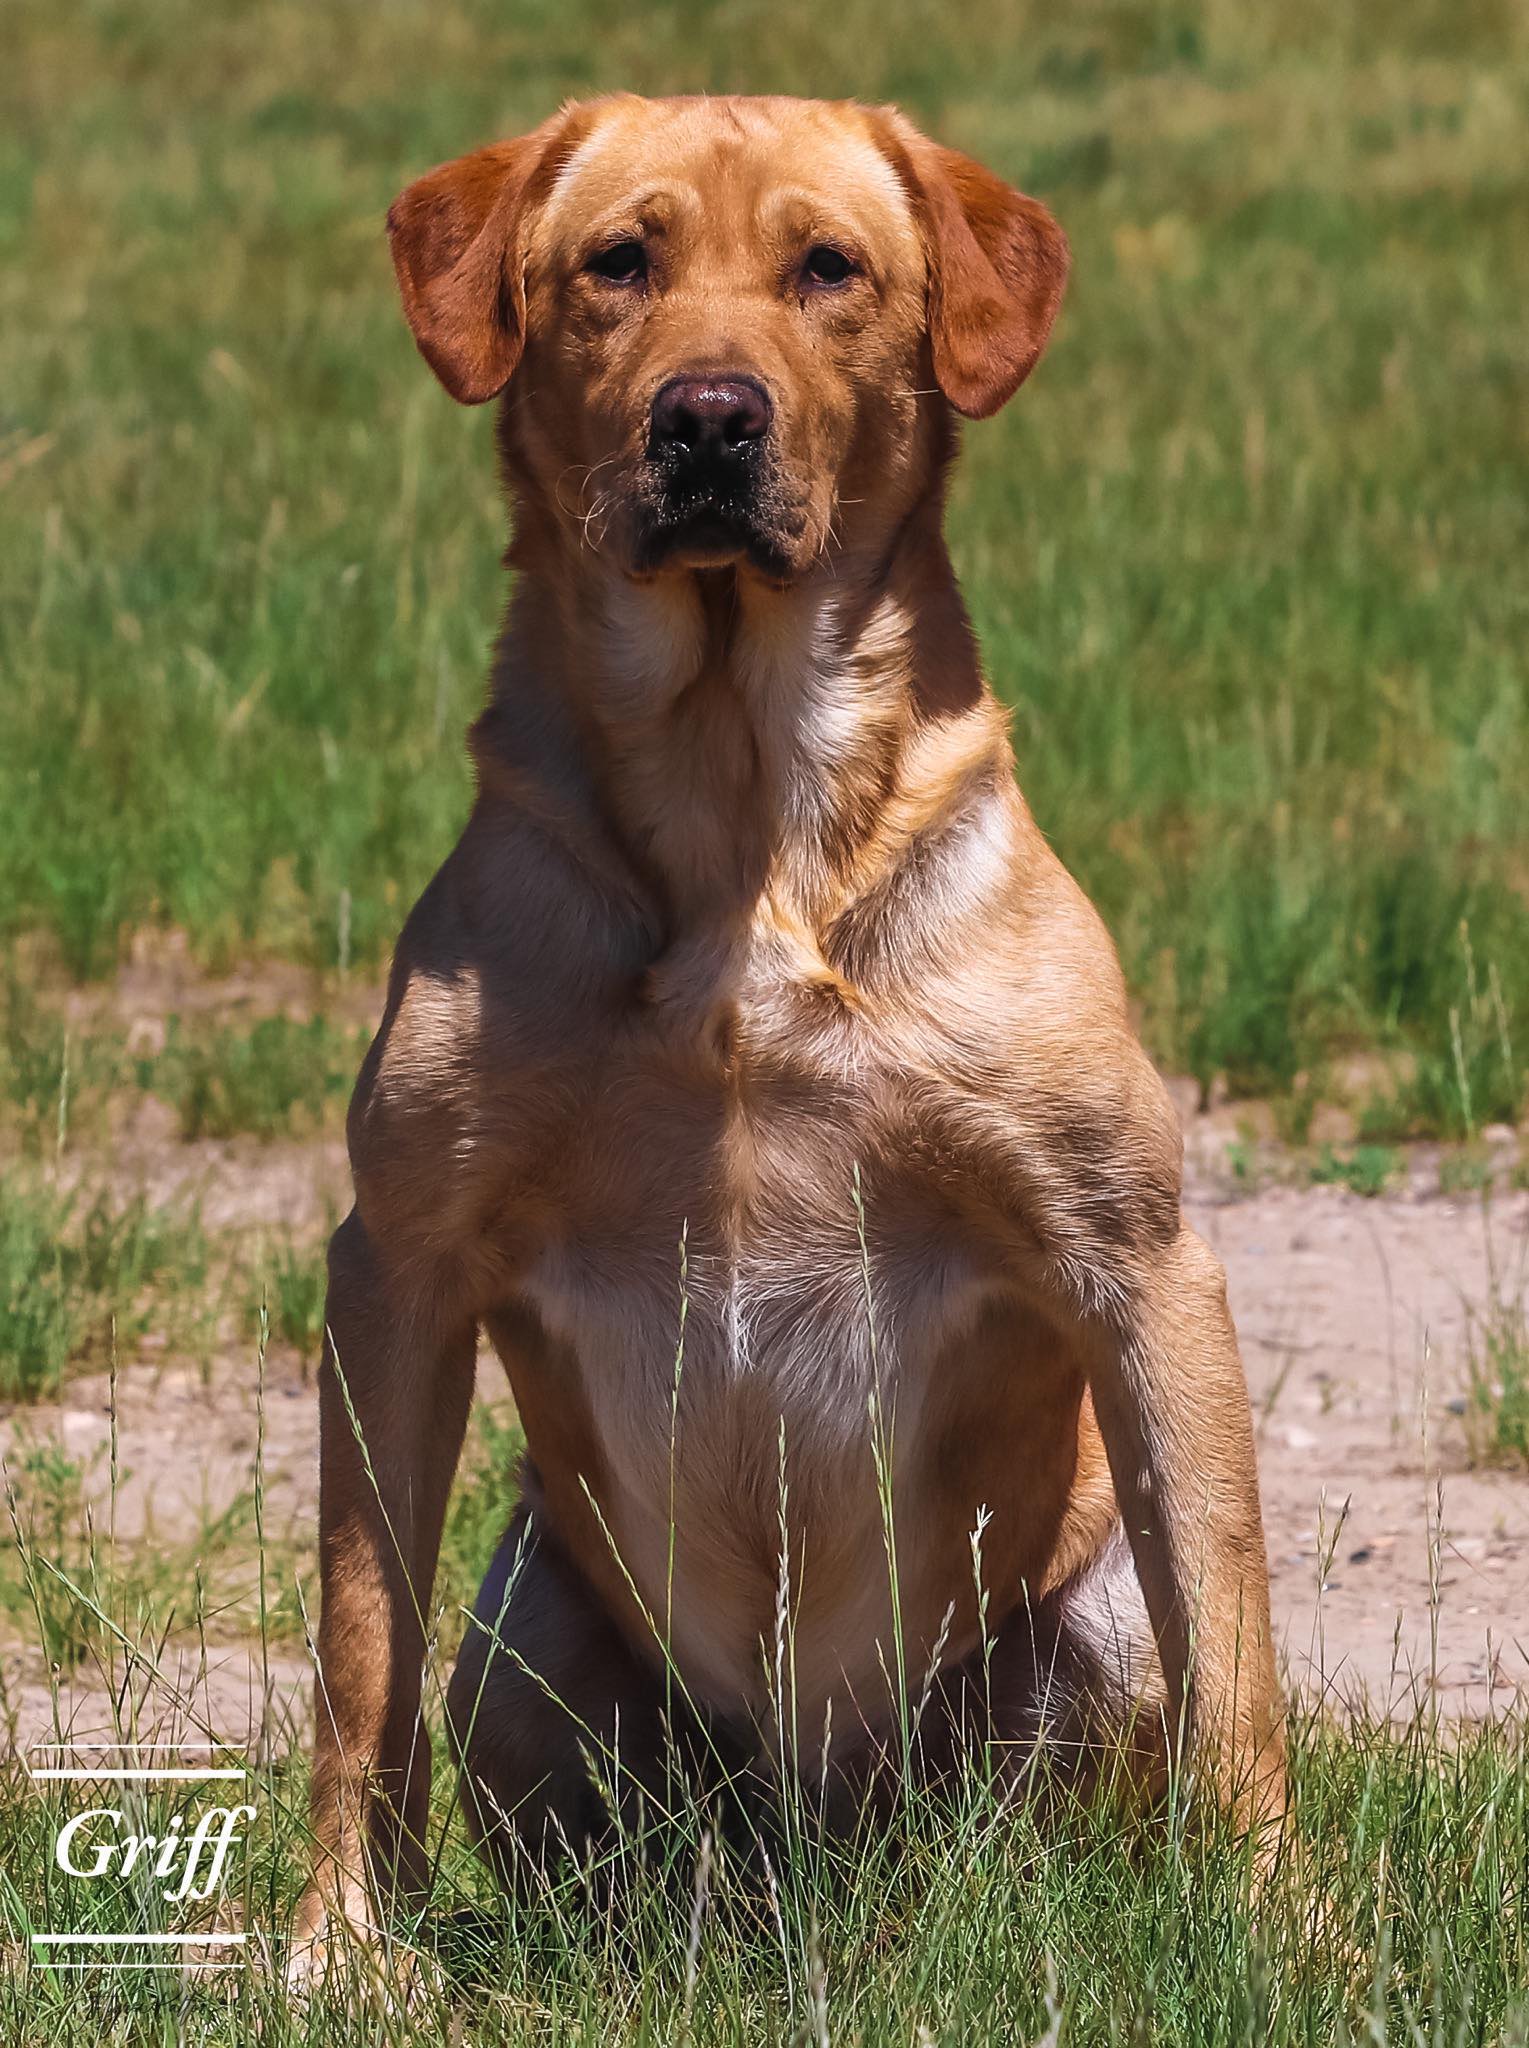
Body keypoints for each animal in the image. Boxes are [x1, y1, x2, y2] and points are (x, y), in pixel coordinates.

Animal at [292, 92, 1285, 1966]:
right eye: (618, 263)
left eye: (828, 268)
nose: (705, 417)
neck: (739, 798)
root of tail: (807, 1843)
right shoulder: (398, 1258)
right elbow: (354, 1647)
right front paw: (338, 1945)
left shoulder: (1136, 1255)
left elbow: (1234, 1648)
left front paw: (1280, 1930)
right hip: (527, 1618)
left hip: (1063, 1627)